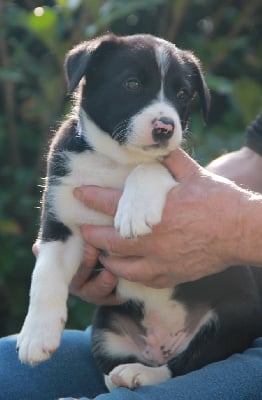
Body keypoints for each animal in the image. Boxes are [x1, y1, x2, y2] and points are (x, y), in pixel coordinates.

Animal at [16, 33, 262, 390]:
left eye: (182, 93)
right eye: (132, 84)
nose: (164, 127)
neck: (115, 160)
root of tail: (162, 343)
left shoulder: (188, 176)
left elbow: (151, 166)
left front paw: (133, 211)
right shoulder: (61, 224)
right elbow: (45, 274)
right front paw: (36, 336)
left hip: (232, 317)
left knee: (185, 364)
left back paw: (142, 373)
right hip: (105, 328)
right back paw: (120, 376)